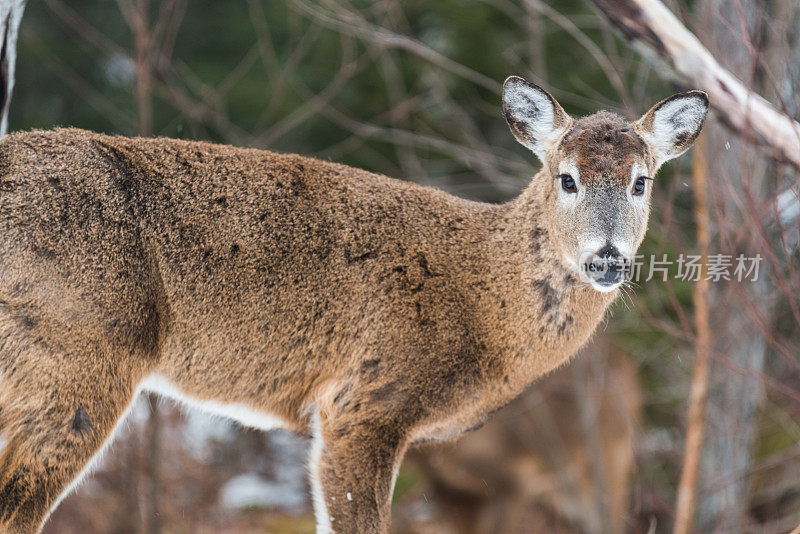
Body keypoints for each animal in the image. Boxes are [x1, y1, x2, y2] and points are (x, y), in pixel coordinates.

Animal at [0, 76, 708, 534]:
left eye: (642, 182)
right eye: (567, 178)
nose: (607, 258)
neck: (485, 302)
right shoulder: (364, 399)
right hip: (75, 351)